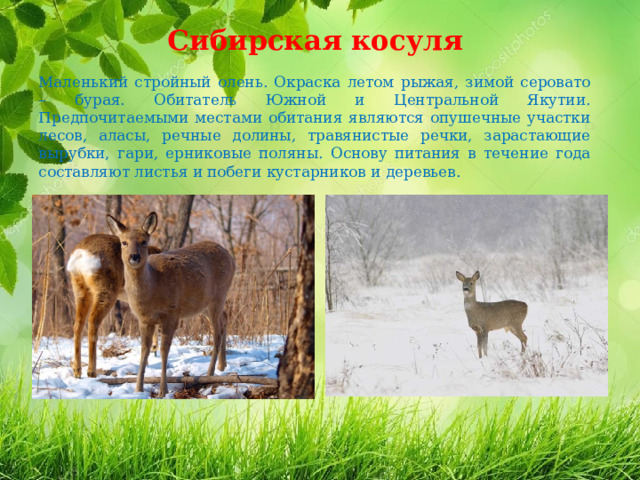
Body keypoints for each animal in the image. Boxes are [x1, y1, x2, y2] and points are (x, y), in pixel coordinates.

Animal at [67, 232, 162, 379]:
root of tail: (81, 254)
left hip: (79, 289)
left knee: (78, 324)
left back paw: (77, 370)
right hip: (106, 290)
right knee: (93, 321)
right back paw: (92, 371)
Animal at [106, 212, 236, 397]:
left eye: (144, 241)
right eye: (124, 242)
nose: (134, 257)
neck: (153, 285)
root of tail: (231, 258)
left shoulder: (171, 314)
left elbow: (163, 350)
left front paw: (163, 391)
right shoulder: (144, 320)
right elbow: (144, 351)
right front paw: (138, 389)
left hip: (218, 296)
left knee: (217, 333)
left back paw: (210, 373)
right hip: (203, 304)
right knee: (225, 318)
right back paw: (222, 366)